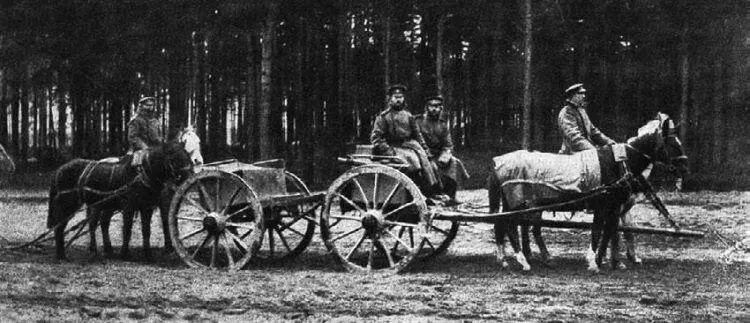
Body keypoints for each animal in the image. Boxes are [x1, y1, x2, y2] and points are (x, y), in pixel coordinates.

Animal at [47, 141, 194, 260]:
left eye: (187, 156)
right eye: (173, 158)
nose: (190, 176)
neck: (143, 173)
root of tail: (59, 170)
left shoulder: (147, 208)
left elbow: (146, 231)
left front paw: (148, 255)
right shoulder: (129, 207)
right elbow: (127, 230)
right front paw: (125, 254)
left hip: (101, 205)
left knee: (98, 223)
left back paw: (103, 250)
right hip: (69, 205)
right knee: (60, 227)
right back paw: (61, 254)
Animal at [490, 112, 692, 272]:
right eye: (672, 143)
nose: (685, 168)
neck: (618, 163)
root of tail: (497, 162)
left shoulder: (614, 207)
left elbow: (609, 231)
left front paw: (604, 260)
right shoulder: (603, 205)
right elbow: (597, 231)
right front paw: (594, 262)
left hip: (515, 204)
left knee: (502, 224)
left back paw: (507, 259)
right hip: (518, 203)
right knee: (511, 226)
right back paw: (523, 261)